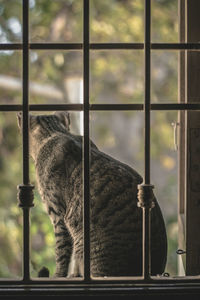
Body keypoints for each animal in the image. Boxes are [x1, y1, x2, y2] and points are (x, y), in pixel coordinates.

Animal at [17, 111, 167, 278]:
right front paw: (75, 274)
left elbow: (61, 253)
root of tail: (157, 270)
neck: (54, 133)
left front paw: (59, 275)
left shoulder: (58, 215)